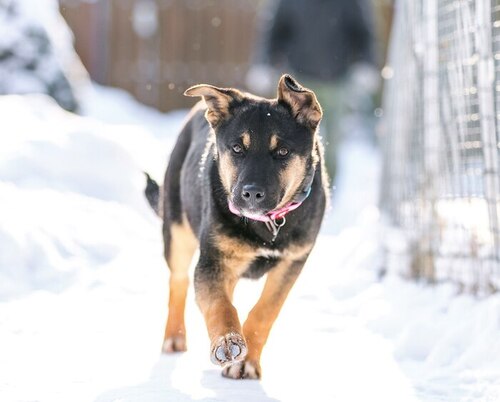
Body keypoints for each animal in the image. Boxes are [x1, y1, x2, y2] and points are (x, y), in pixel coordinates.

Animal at [145, 74, 328, 379]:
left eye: (282, 151)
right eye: (237, 149)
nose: (251, 194)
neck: (267, 223)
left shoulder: (292, 262)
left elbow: (265, 311)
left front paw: (246, 362)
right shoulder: (214, 261)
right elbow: (220, 305)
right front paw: (227, 342)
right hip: (178, 229)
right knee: (179, 281)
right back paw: (175, 337)